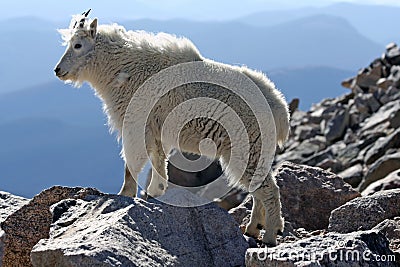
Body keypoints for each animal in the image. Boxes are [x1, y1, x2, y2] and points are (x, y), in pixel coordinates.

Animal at [54, 10, 290, 247]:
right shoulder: (156, 130)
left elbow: (132, 163)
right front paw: (154, 193)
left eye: (77, 45)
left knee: (268, 190)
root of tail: (279, 108)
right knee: (259, 187)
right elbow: (159, 161)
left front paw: (125, 194)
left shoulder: (136, 124)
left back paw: (270, 234)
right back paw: (253, 228)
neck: (122, 67)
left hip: (247, 144)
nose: (58, 70)